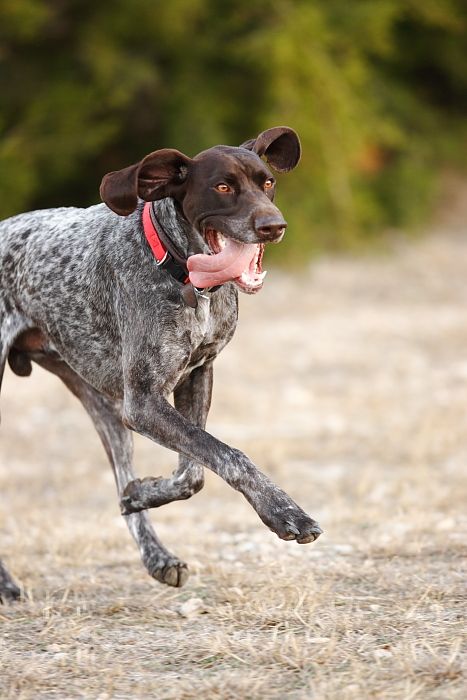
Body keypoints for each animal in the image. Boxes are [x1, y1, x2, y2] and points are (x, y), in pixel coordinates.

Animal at [0, 127, 322, 600]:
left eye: (267, 183)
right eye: (222, 187)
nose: (273, 226)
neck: (183, 273)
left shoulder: (193, 378)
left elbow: (194, 472)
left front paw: (143, 492)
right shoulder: (145, 403)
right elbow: (229, 455)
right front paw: (283, 511)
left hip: (103, 405)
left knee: (121, 470)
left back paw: (156, 554)